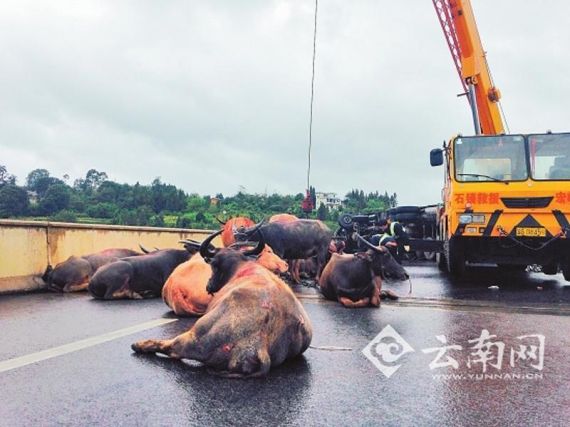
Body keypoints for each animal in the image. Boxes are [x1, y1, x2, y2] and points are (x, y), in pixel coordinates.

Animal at [131, 232, 312, 380]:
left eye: (213, 266)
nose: (209, 285)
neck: (242, 267)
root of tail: (261, 346)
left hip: (198, 338)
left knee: (174, 349)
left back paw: (140, 345)